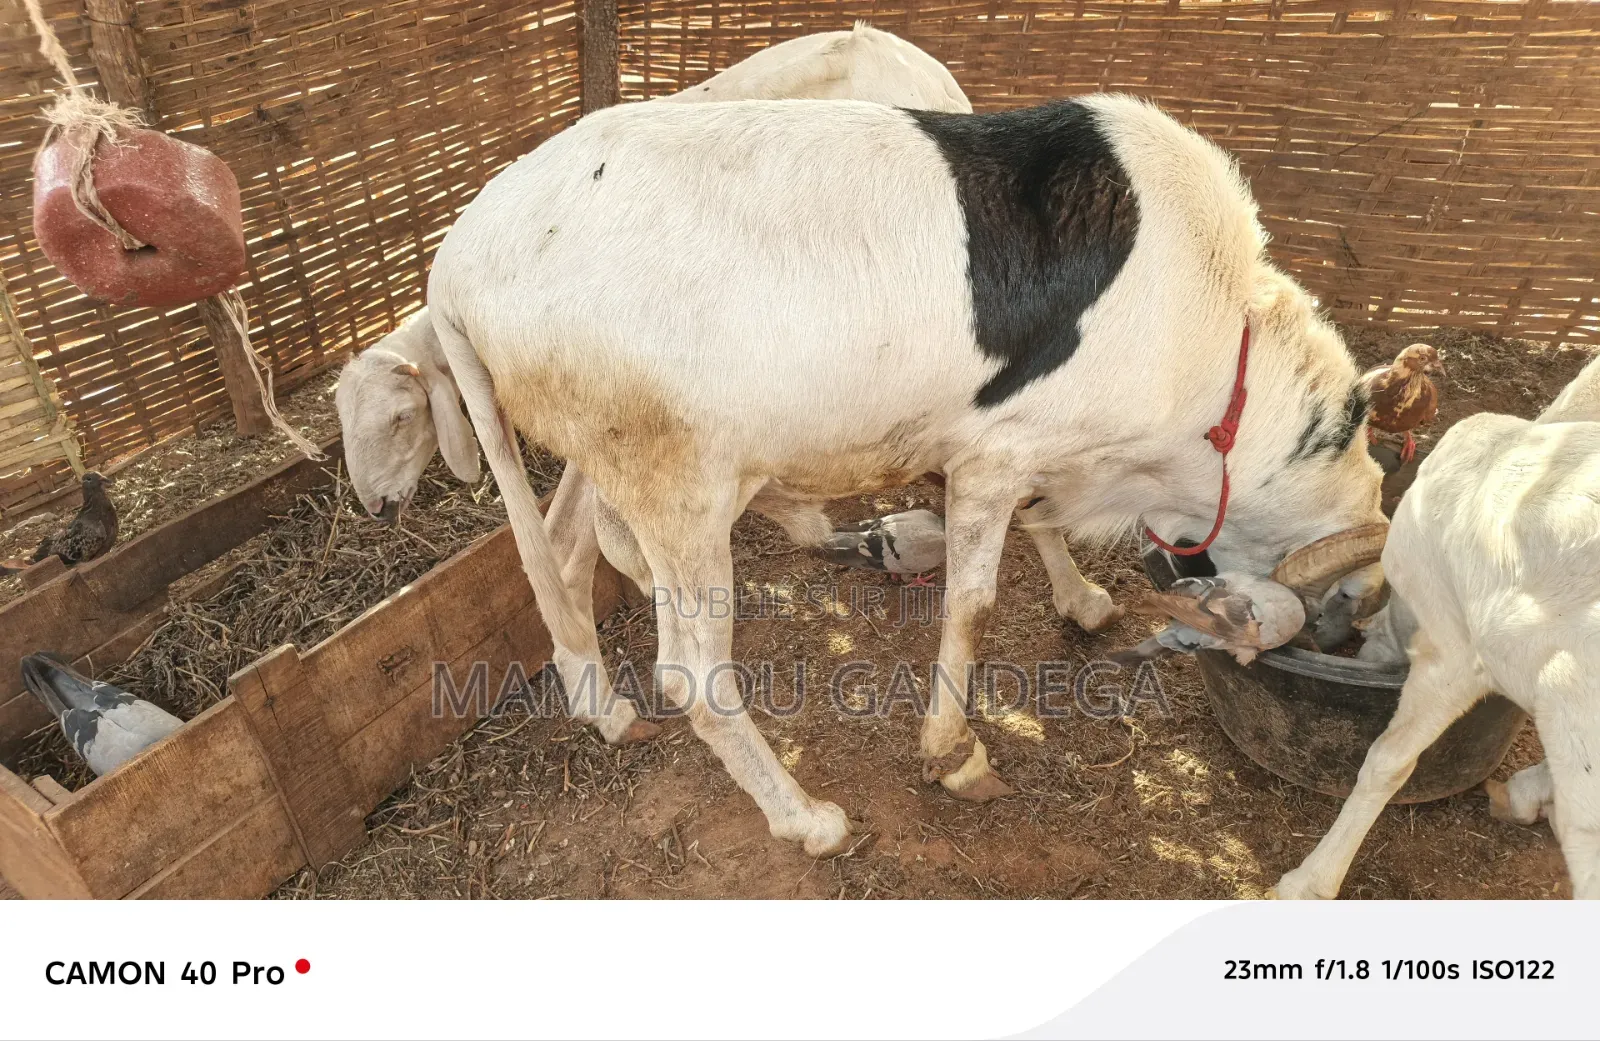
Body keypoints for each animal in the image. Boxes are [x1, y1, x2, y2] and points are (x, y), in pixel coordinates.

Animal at [427, 93, 1387, 854]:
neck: (1224, 359)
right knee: (692, 675)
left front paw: (1082, 600)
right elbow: (973, 604)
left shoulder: (1014, 442)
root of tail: (455, 264)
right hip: (676, 478)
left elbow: (1037, 524)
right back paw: (804, 817)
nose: (1354, 620)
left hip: (609, 451)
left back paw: (600, 699)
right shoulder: (1000, 450)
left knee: (563, 546)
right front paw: (954, 753)